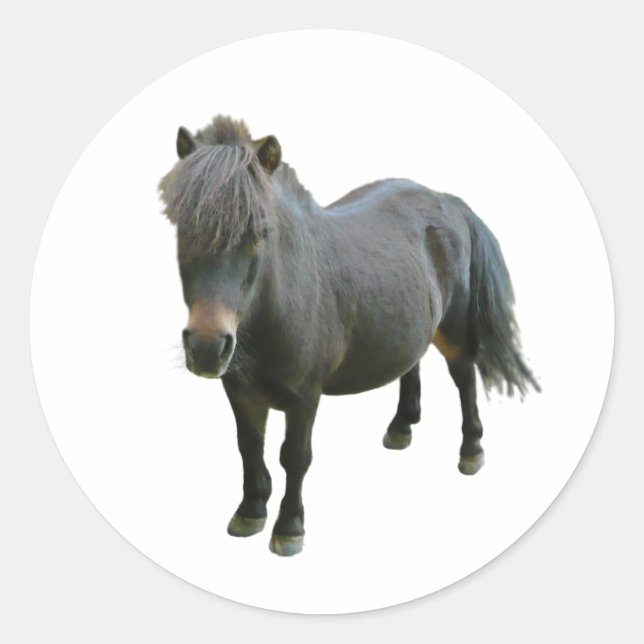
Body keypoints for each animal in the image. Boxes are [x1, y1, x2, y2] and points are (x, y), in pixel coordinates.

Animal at [159, 115, 539, 556]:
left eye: (259, 231)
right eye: (184, 229)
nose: (206, 346)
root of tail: (447, 199)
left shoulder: (305, 395)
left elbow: (295, 457)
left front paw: (289, 527)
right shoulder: (239, 391)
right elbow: (248, 447)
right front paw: (250, 510)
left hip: (455, 330)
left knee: (464, 378)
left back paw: (471, 451)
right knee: (412, 362)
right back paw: (401, 427)